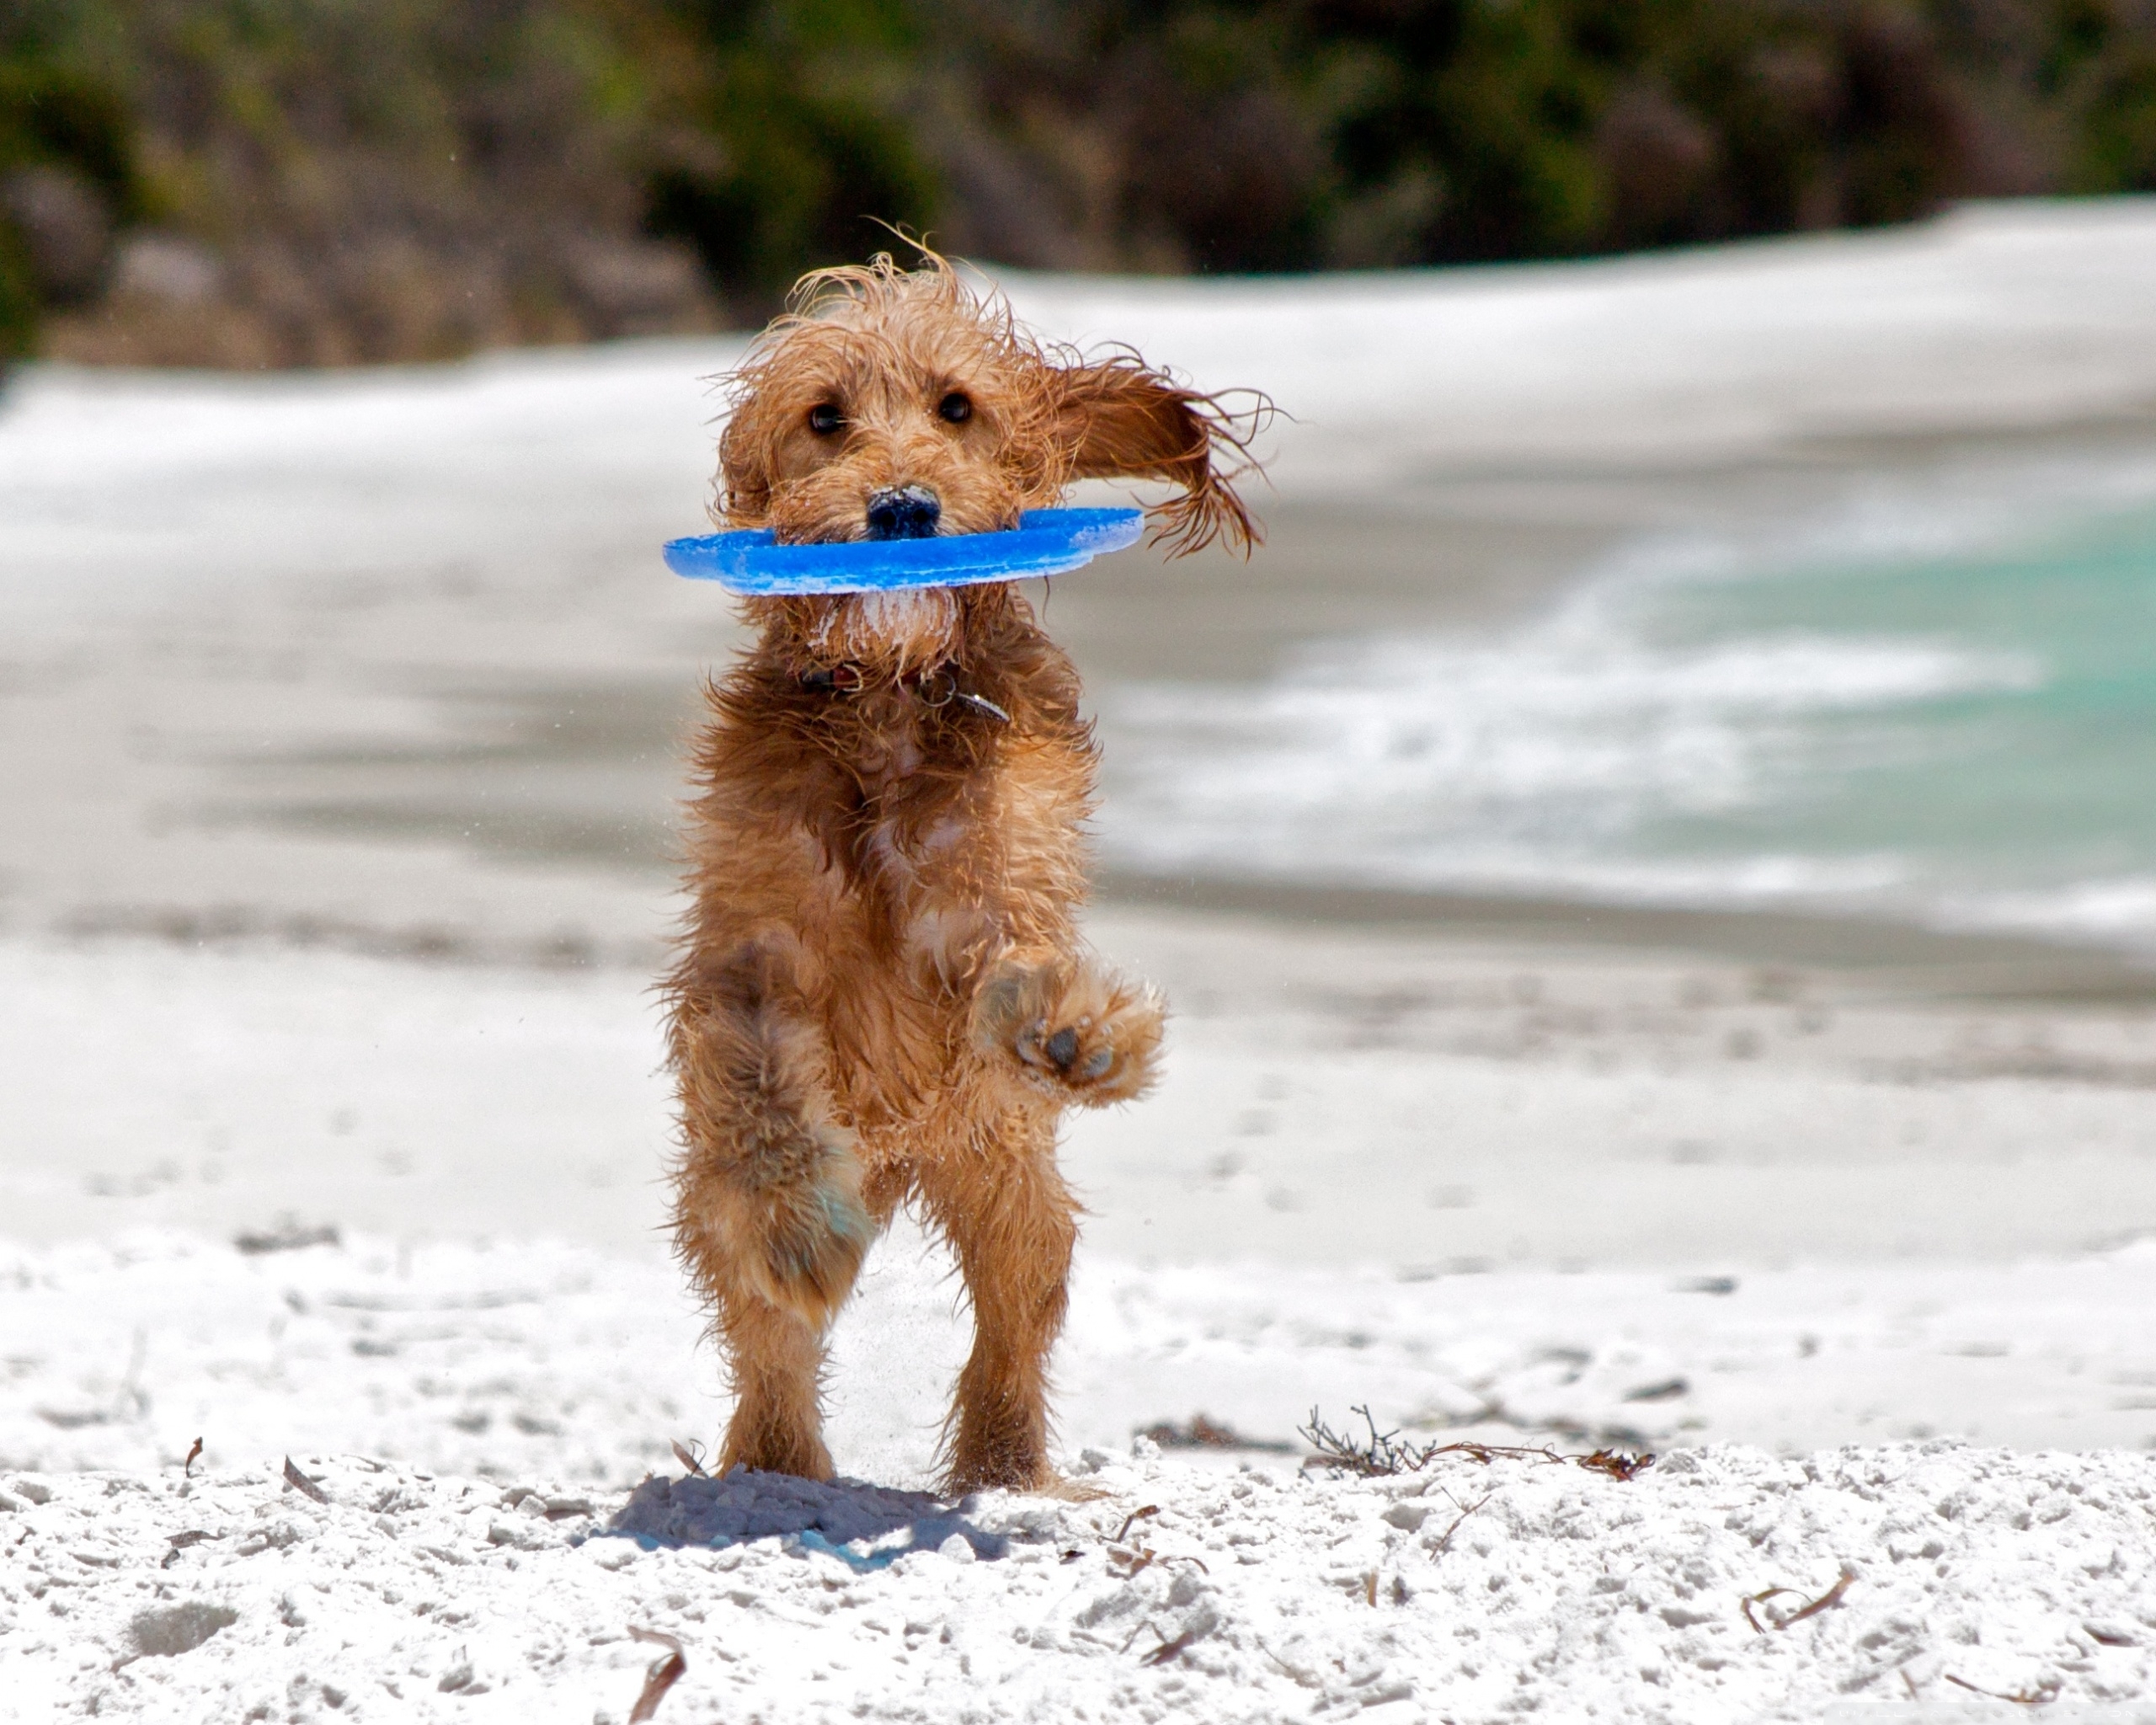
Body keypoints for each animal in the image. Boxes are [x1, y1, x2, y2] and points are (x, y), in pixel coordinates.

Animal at [659, 248, 1259, 1492]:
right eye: (824, 417)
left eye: (956, 406)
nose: (902, 510)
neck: (887, 697)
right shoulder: (747, 949)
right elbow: (758, 1080)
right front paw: (795, 1223)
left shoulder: (994, 894)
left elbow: (1017, 964)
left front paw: (1077, 1030)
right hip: (733, 1207)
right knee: (766, 1334)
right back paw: (777, 1456)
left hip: (1004, 1177)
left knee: (1015, 1314)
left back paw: (1004, 1463)